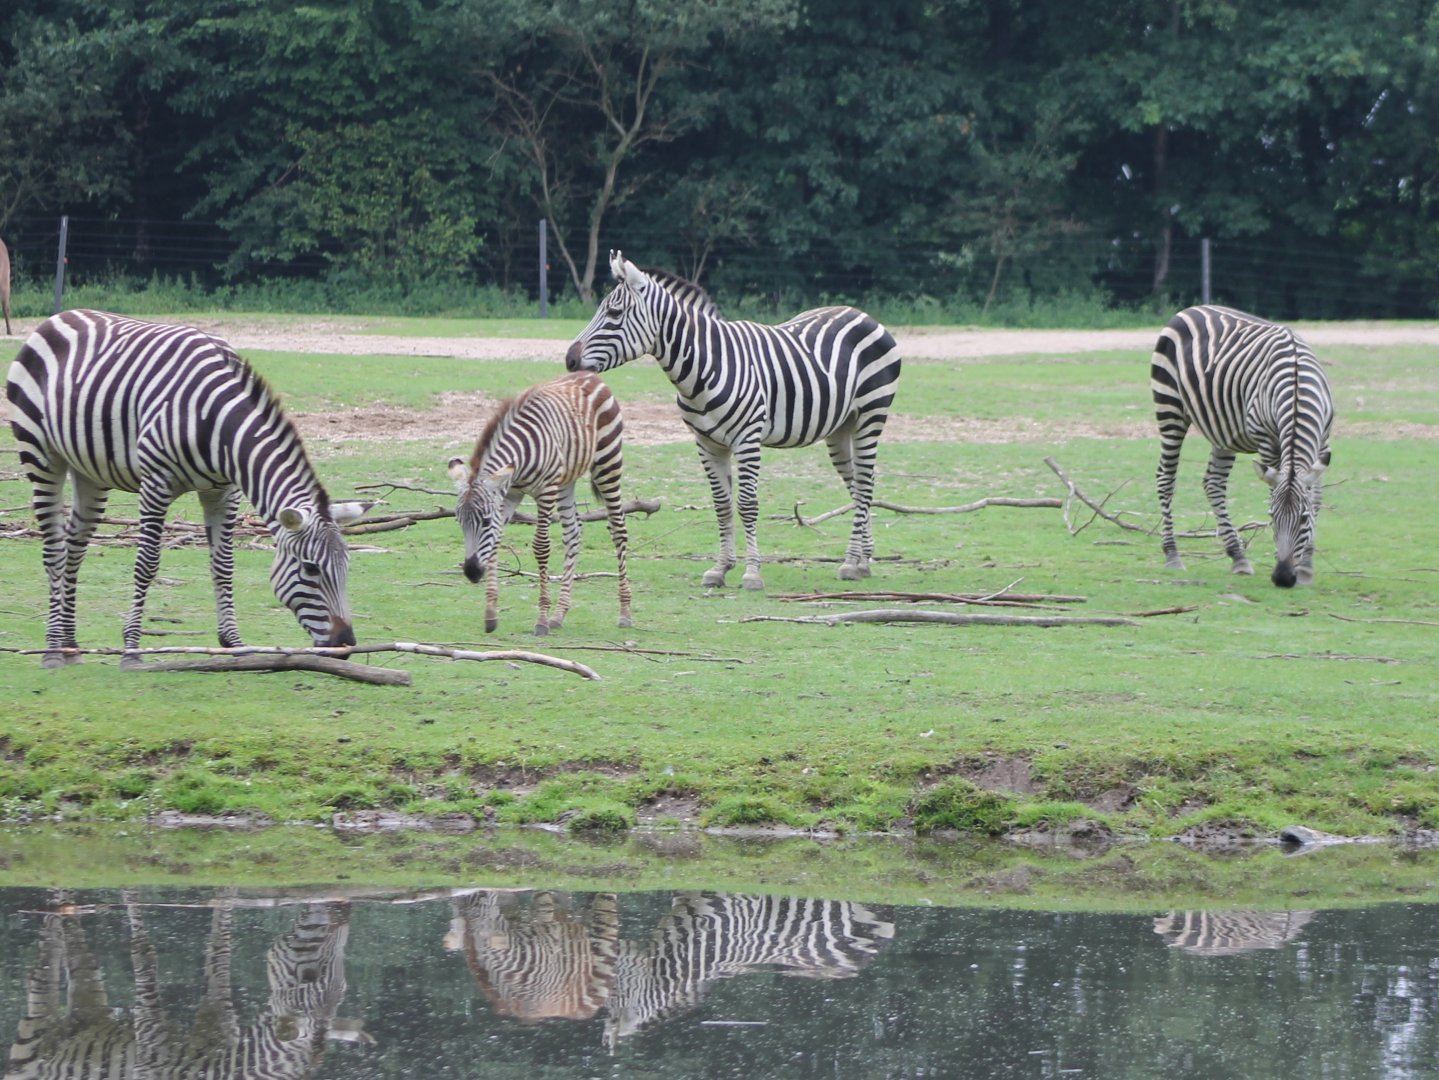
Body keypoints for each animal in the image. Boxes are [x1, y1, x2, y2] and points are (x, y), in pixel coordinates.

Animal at [5, 309, 370, 668]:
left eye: (347, 567)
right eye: (310, 569)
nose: (345, 647)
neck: (218, 426)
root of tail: (60, 315)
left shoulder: (224, 491)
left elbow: (223, 565)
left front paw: (234, 644)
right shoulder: (156, 483)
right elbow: (147, 563)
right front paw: (132, 649)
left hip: (89, 472)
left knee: (74, 548)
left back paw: (70, 645)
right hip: (42, 456)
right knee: (54, 550)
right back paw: (53, 649)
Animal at [446, 370, 633, 635]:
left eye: (484, 521)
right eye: (459, 522)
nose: (471, 573)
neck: (520, 461)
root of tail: (589, 374)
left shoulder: (545, 491)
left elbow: (541, 546)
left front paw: (541, 620)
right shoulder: (509, 494)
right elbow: (496, 541)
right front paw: (491, 614)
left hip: (607, 462)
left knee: (618, 529)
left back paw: (625, 612)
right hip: (566, 480)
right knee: (573, 533)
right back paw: (560, 614)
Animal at [566, 250, 902, 591]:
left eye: (614, 313)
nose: (570, 359)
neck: (704, 368)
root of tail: (861, 314)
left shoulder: (747, 439)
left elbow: (747, 504)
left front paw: (752, 573)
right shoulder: (706, 443)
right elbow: (722, 504)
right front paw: (720, 568)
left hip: (870, 416)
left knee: (864, 484)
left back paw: (851, 562)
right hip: (840, 428)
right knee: (858, 484)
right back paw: (863, 560)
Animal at [1151, 304, 1334, 587]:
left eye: (1304, 519)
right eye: (1271, 517)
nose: (1282, 578)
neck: (1296, 389)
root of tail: (1189, 310)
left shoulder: (1322, 441)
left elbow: (1316, 498)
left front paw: (1306, 568)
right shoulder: (1267, 439)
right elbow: (1273, 490)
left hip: (1222, 428)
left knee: (1213, 483)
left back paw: (1238, 556)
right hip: (1169, 407)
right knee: (1165, 477)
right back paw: (1172, 554)